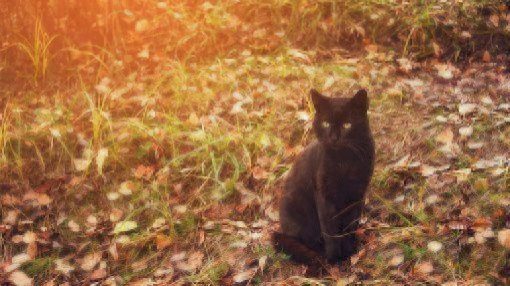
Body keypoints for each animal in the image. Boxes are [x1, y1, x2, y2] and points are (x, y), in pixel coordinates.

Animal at [272, 88, 376, 272]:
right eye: (326, 123)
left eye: (347, 125)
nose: (334, 138)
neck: (345, 162)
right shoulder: (325, 196)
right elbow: (330, 230)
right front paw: (334, 258)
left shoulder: (358, 194)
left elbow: (350, 224)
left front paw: (349, 251)